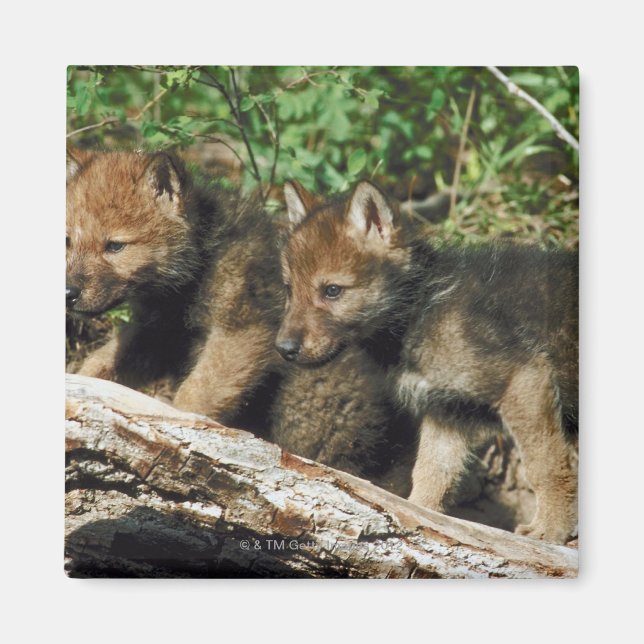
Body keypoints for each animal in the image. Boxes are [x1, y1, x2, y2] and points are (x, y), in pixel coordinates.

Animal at [276, 179, 578, 543]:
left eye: (332, 291)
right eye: (289, 290)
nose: (283, 348)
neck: (419, 309)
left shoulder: (526, 379)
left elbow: (545, 466)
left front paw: (551, 530)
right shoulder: (449, 412)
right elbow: (430, 474)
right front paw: (416, 519)